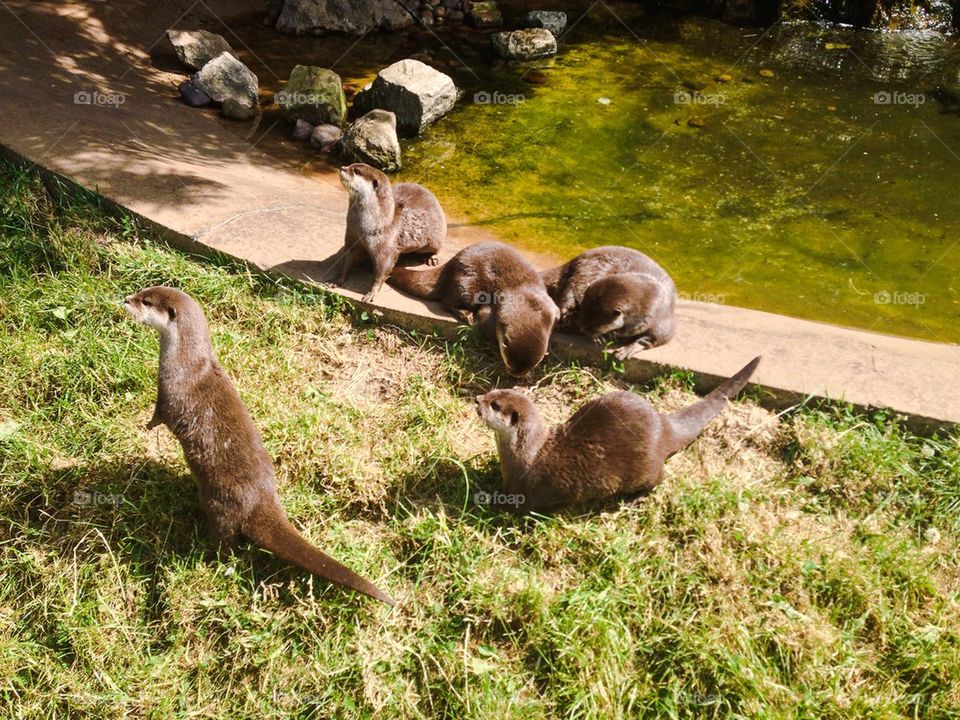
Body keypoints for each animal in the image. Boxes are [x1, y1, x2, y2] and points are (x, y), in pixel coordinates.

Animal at [124, 286, 395, 606]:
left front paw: (144, 427)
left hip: (220, 504)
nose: (126, 300)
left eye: (146, 302)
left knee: (226, 541)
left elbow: (158, 415)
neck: (186, 361)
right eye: (142, 291)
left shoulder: (169, 392)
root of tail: (261, 499)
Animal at [336, 163, 445, 302]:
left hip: (435, 237)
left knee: (436, 247)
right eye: (351, 164)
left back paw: (431, 258)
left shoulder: (386, 247)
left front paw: (372, 292)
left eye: (356, 171)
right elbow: (348, 258)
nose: (342, 167)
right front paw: (338, 279)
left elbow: (383, 270)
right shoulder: (351, 236)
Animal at [388, 241, 560, 377]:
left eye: (531, 366)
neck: (528, 303)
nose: (516, 376)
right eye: (510, 363)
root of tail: (451, 264)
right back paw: (466, 314)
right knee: (448, 301)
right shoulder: (492, 313)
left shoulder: (549, 308)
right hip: (466, 283)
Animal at [475, 356, 760, 512]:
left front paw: (486, 500)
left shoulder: (526, 489)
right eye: (492, 392)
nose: (477, 400)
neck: (528, 452)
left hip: (644, 467)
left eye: (495, 405)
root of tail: (662, 424)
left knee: (660, 478)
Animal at [541, 246, 677, 358]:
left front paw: (628, 348)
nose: (583, 329)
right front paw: (601, 337)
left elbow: (658, 337)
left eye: (594, 326)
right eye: (583, 317)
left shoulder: (661, 319)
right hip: (583, 273)